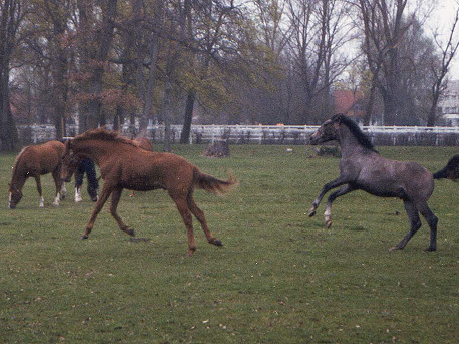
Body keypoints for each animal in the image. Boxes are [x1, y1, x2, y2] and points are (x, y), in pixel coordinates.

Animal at [60, 128, 237, 255]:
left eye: (64, 157)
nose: (64, 178)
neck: (111, 153)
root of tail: (191, 166)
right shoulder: (118, 186)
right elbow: (112, 209)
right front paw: (130, 230)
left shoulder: (109, 183)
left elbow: (98, 207)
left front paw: (85, 233)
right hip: (187, 195)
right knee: (200, 214)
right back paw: (214, 240)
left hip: (178, 195)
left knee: (187, 217)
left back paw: (191, 249)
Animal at [310, 114, 438, 251]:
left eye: (326, 124)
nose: (311, 138)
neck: (355, 153)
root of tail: (431, 174)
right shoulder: (352, 185)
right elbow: (332, 195)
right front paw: (327, 219)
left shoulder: (346, 177)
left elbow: (327, 186)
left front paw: (313, 209)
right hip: (408, 201)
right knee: (416, 223)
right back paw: (398, 247)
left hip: (419, 201)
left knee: (432, 219)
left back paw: (430, 248)